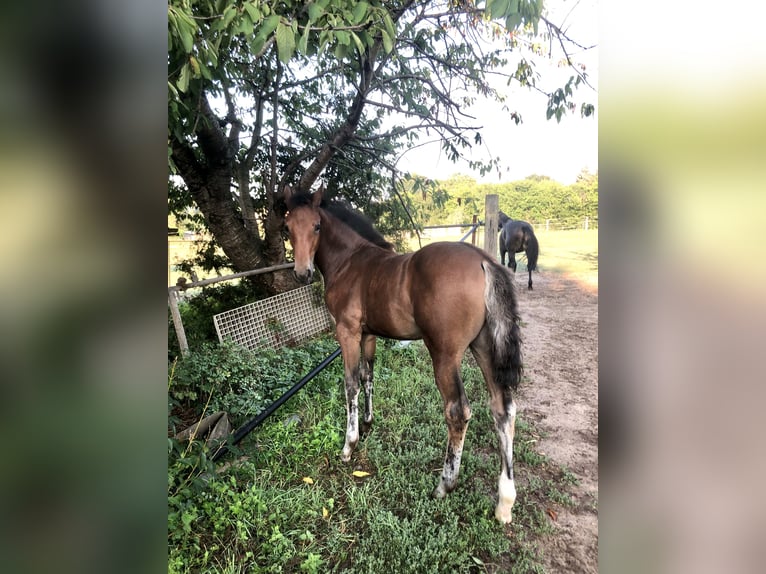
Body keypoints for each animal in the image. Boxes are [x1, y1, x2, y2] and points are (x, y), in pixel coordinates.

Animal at [284, 187, 524, 524]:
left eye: (317, 226)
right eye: (287, 228)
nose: (302, 273)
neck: (350, 262)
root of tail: (483, 261)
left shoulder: (347, 332)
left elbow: (350, 383)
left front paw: (349, 446)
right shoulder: (369, 333)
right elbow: (368, 375)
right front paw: (368, 421)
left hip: (444, 354)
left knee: (458, 411)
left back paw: (444, 485)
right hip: (484, 346)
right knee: (503, 409)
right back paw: (504, 503)